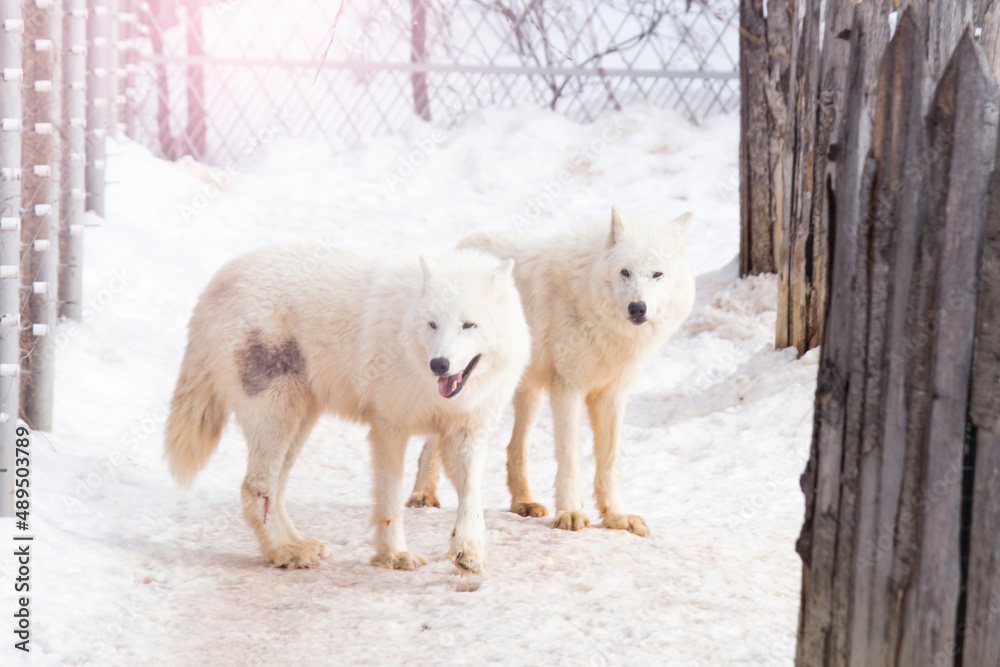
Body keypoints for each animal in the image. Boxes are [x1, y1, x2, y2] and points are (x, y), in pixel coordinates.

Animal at [165, 244, 531, 572]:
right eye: (432, 324)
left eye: (468, 325)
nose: (439, 364)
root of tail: (218, 282)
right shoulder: (388, 428)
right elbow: (391, 500)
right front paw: (394, 555)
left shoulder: (466, 432)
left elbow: (471, 498)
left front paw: (468, 553)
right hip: (278, 416)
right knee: (256, 488)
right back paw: (283, 552)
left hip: (300, 422)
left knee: (277, 488)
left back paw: (298, 544)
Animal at [408, 207, 695, 536]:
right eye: (625, 272)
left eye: (657, 274)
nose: (638, 308)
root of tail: (464, 246)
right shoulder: (568, 389)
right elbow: (569, 457)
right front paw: (570, 512)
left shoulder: (611, 394)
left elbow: (609, 462)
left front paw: (616, 516)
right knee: (432, 444)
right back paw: (422, 494)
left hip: (528, 395)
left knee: (514, 449)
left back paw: (523, 503)